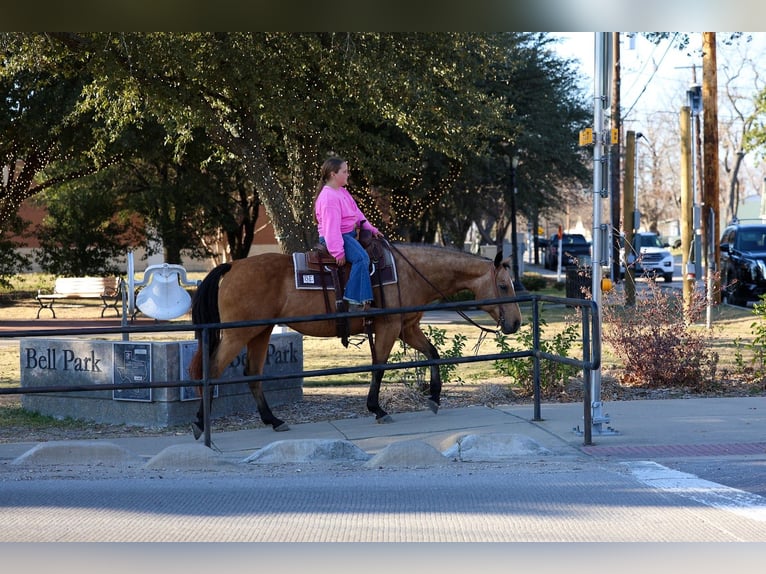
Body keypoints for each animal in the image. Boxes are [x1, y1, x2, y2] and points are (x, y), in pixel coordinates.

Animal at [187, 242, 522, 437]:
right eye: (504, 286)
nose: (517, 322)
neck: (410, 273)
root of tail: (232, 265)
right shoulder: (388, 328)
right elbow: (379, 367)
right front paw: (377, 409)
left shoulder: (407, 328)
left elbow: (433, 353)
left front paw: (435, 397)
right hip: (238, 333)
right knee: (213, 370)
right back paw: (201, 423)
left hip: (260, 331)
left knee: (253, 374)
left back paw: (273, 420)